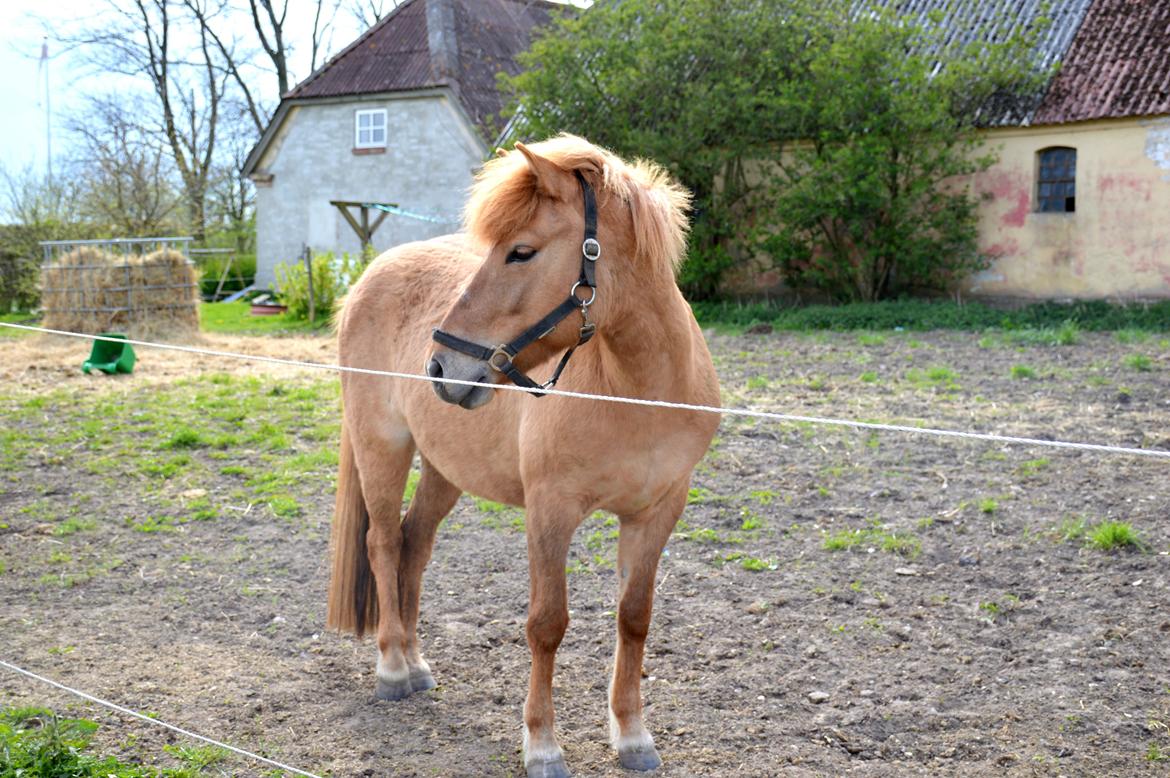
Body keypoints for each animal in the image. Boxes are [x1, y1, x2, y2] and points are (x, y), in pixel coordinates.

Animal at [325, 135, 716, 776]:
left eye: (521, 252)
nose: (442, 368)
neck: (633, 390)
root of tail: (369, 276)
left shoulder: (656, 512)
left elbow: (634, 618)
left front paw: (633, 736)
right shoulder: (549, 512)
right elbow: (547, 624)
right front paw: (543, 745)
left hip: (445, 469)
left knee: (413, 545)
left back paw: (417, 663)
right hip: (382, 446)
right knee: (382, 543)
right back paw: (392, 669)